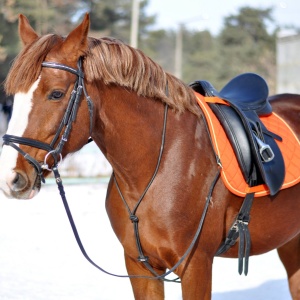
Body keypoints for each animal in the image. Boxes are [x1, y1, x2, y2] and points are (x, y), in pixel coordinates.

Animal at [0, 14, 300, 300]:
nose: (10, 178)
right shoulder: (140, 267)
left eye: (56, 93)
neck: (160, 163)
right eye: (13, 96)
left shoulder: (196, 265)